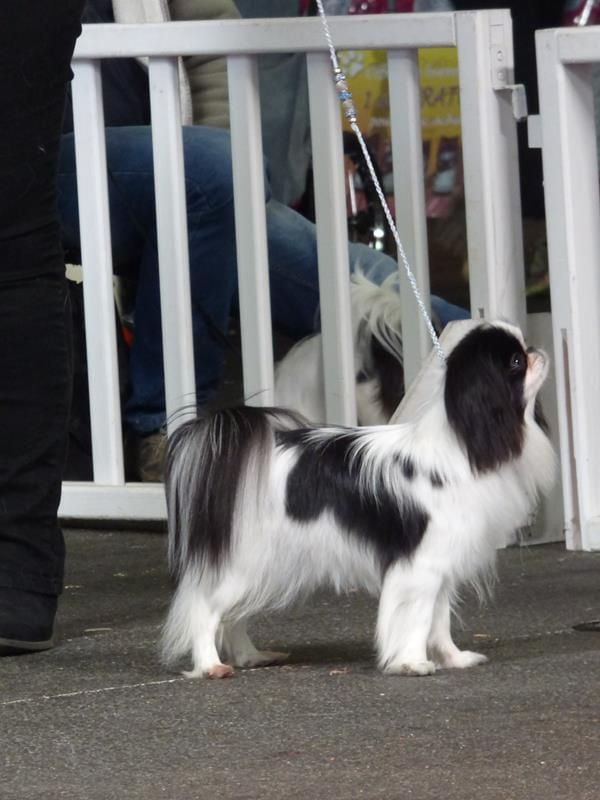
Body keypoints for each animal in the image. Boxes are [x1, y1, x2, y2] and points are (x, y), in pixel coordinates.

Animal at [162, 322, 556, 680]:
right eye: (516, 362)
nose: (537, 349)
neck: (463, 442)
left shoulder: (440, 565)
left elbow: (439, 620)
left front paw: (452, 659)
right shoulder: (420, 567)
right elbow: (417, 618)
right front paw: (412, 663)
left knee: (232, 617)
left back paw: (249, 656)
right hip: (249, 565)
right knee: (205, 609)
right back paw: (210, 666)